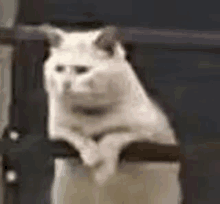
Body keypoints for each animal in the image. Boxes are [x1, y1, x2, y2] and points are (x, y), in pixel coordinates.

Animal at [38, 23, 179, 196]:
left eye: (82, 70)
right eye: (59, 68)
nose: (65, 84)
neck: (91, 114)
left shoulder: (149, 132)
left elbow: (112, 137)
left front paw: (102, 170)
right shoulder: (56, 130)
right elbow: (77, 136)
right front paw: (91, 154)